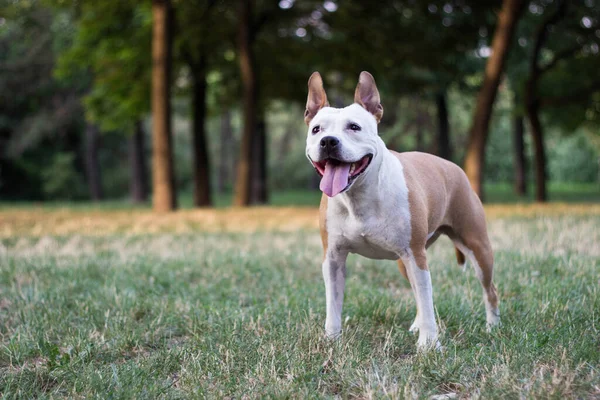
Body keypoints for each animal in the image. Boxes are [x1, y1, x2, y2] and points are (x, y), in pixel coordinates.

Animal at [302, 72, 500, 350]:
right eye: (317, 129)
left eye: (354, 127)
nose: (328, 141)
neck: (359, 195)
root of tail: (453, 167)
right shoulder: (333, 258)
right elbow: (333, 304)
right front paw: (332, 338)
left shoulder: (416, 256)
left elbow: (427, 300)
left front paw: (429, 345)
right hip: (404, 262)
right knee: (417, 292)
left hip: (477, 247)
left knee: (489, 289)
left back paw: (493, 326)